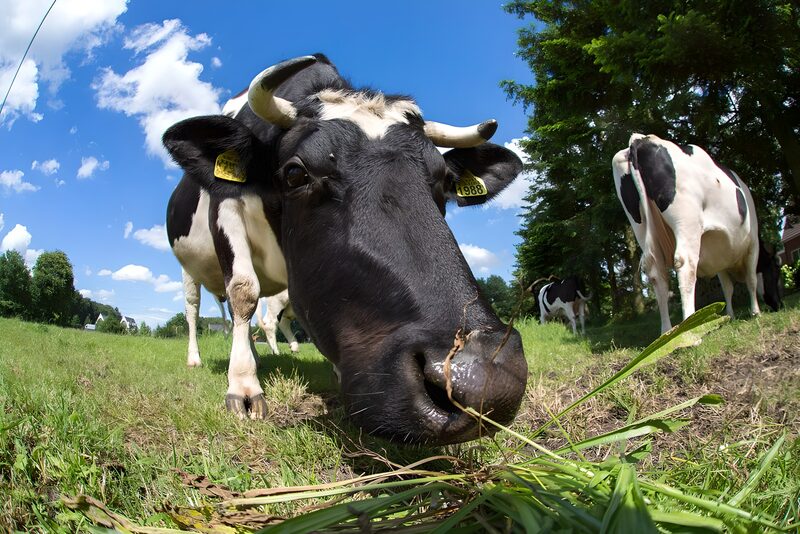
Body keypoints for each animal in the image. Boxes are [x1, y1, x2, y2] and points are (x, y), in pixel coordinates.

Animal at [164, 54, 528, 444]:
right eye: (295, 174)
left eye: (445, 181)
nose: (485, 375)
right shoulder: (227, 207)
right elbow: (244, 291)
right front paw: (244, 387)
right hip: (188, 271)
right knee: (195, 310)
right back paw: (197, 358)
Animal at [611, 133, 783, 334]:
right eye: (776, 270)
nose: (779, 304)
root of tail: (640, 139)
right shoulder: (752, 243)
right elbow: (751, 280)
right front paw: (756, 312)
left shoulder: (721, 258)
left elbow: (727, 287)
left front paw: (730, 316)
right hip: (687, 221)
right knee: (686, 265)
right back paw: (688, 326)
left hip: (641, 227)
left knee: (656, 275)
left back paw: (666, 331)